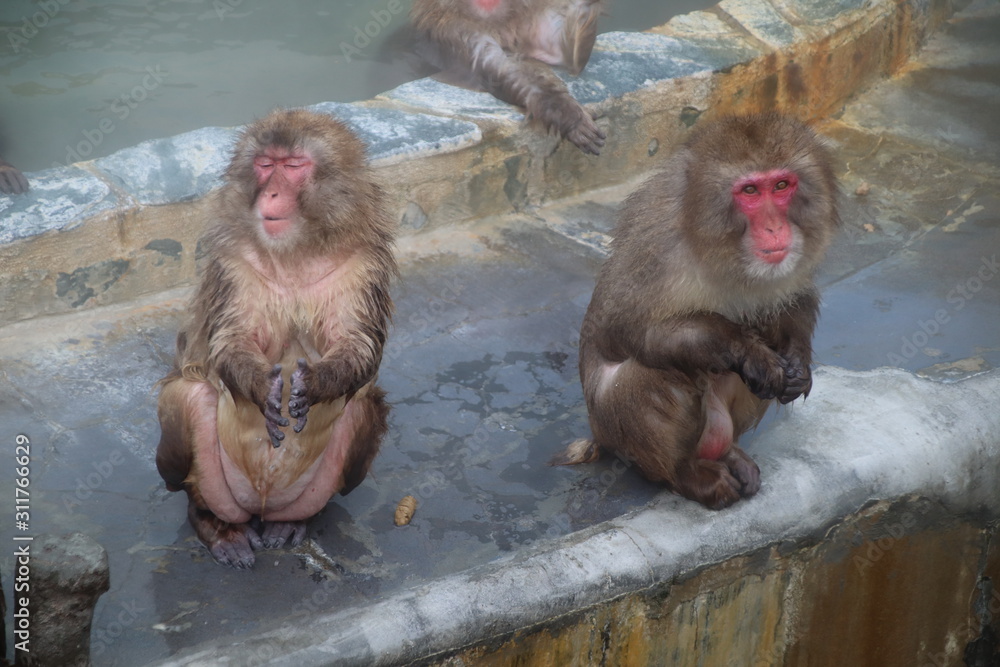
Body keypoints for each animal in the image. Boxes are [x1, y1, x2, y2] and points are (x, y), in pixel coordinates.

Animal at [155, 109, 397, 568]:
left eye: (295, 166)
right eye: (266, 165)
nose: (270, 193)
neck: (297, 251)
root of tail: (262, 508)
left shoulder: (365, 262)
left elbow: (359, 344)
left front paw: (314, 384)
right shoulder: (233, 261)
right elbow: (229, 341)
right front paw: (264, 389)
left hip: (315, 489)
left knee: (363, 408)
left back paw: (294, 523)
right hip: (207, 485)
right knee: (188, 399)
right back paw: (213, 525)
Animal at [553, 112, 839, 510]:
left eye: (782, 185)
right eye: (750, 191)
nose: (774, 228)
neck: (723, 249)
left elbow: (797, 300)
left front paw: (798, 364)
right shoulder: (659, 249)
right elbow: (633, 334)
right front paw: (751, 353)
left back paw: (729, 455)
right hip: (618, 436)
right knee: (653, 375)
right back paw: (686, 475)